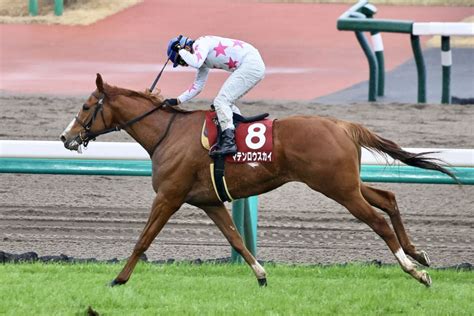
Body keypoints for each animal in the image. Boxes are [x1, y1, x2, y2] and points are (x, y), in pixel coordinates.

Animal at [59, 73, 456, 286]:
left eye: (85, 107)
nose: (66, 137)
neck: (167, 133)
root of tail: (344, 125)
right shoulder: (209, 201)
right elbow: (236, 238)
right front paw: (261, 274)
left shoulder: (169, 197)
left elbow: (143, 240)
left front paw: (118, 279)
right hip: (347, 183)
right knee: (388, 198)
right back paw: (418, 254)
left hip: (337, 188)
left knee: (378, 221)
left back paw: (414, 271)